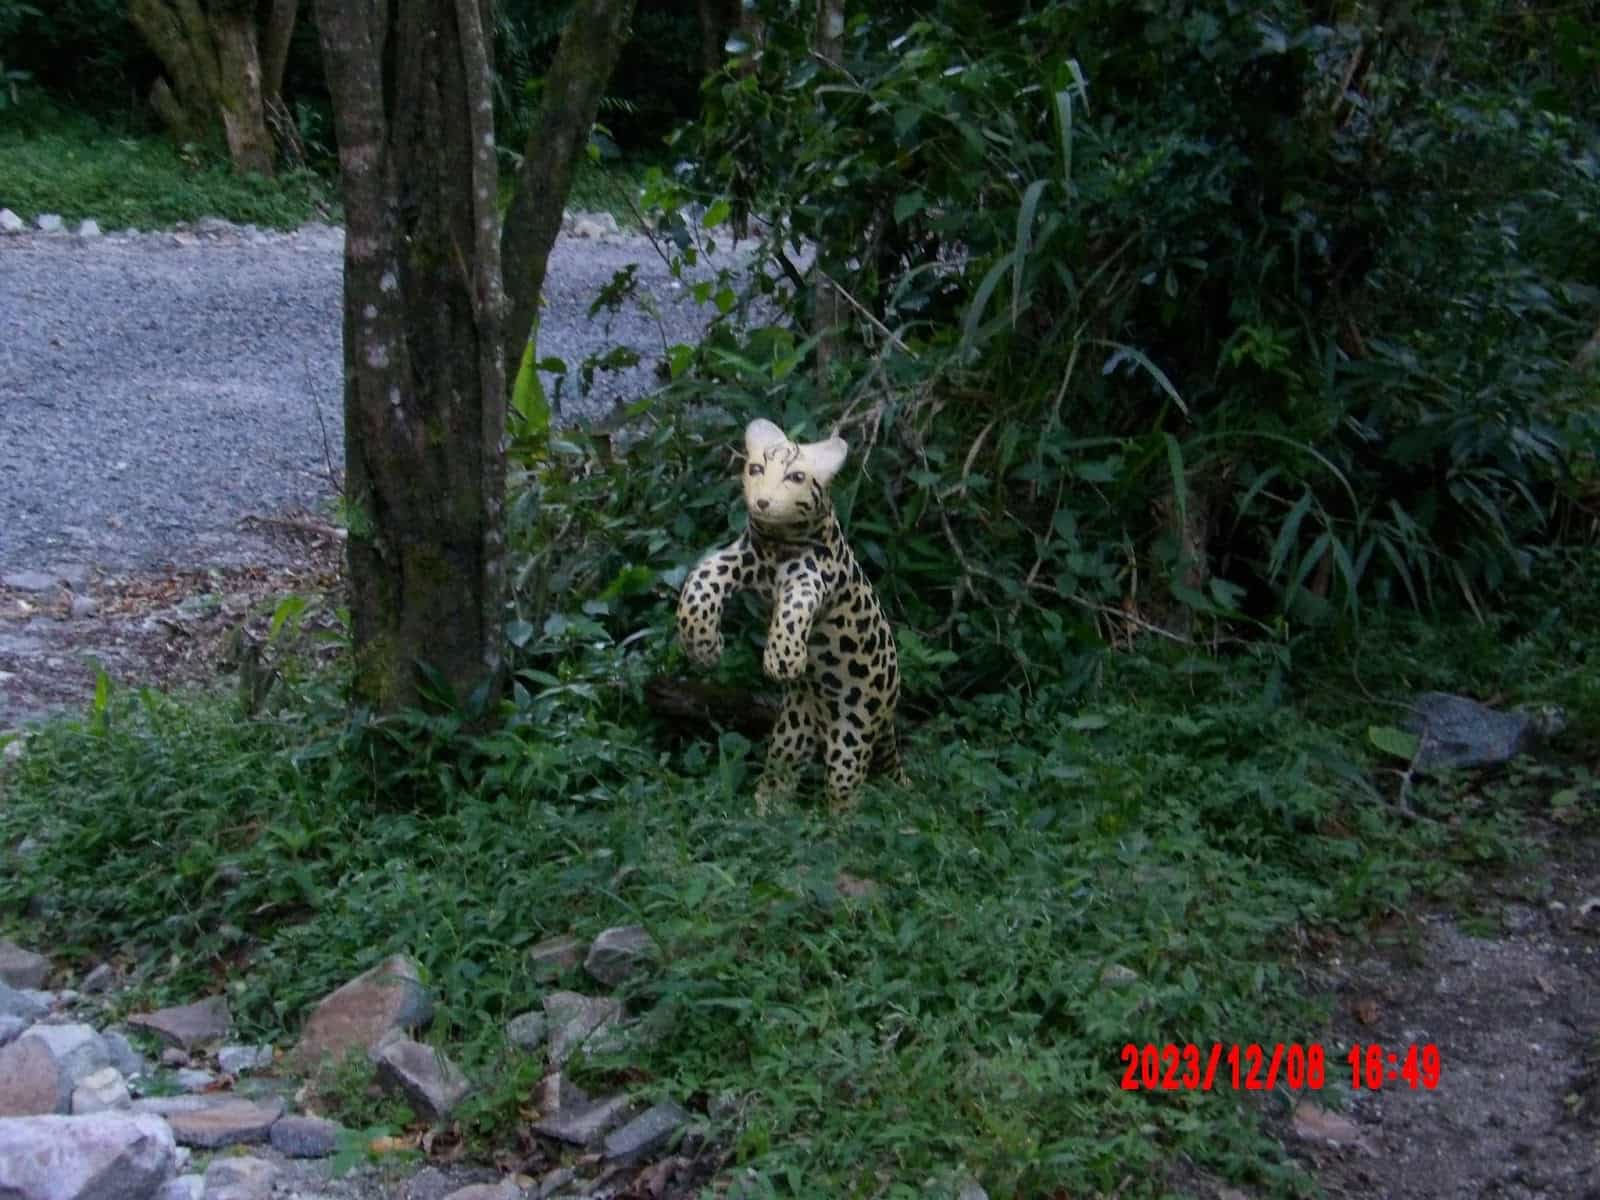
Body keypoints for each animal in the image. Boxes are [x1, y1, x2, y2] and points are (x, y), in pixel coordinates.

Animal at [676, 418, 905, 813]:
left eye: (796, 476)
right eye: (755, 469)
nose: (762, 501)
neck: (776, 544)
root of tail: (887, 716)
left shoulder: (810, 575)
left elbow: (796, 606)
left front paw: (783, 661)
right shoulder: (744, 558)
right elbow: (703, 577)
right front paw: (703, 645)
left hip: (852, 736)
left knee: (846, 794)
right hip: (793, 729)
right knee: (779, 774)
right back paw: (762, 814)